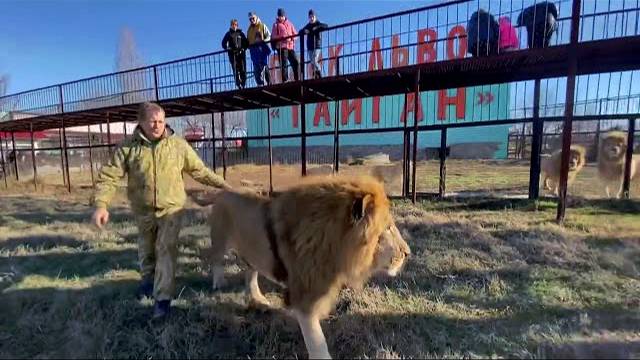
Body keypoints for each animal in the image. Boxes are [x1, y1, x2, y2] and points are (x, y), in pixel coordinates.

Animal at [192, 174, 410, 358]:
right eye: (388, 227)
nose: (408, 253)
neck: (334, 245)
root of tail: (222, 192)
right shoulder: (304, 295)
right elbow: (317, 341)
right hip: (220, 240)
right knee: (216, 260)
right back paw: (219, 283)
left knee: (250, 274)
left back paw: (259, 299)